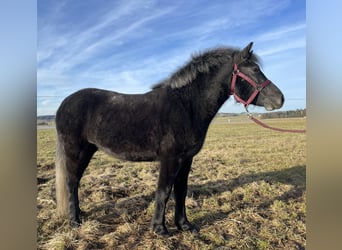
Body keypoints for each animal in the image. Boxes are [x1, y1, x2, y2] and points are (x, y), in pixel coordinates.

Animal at [55, 42, 284, 235]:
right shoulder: (170, 159)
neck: (185, 106)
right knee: (71, 182)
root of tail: (64, 104)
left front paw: (184, 225)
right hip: (77, 152)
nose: (280, 99)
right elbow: (164, 192)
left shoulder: (186, 159)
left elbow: (181, 191)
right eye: (253, 70)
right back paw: (75, 221)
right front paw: (160, 229)